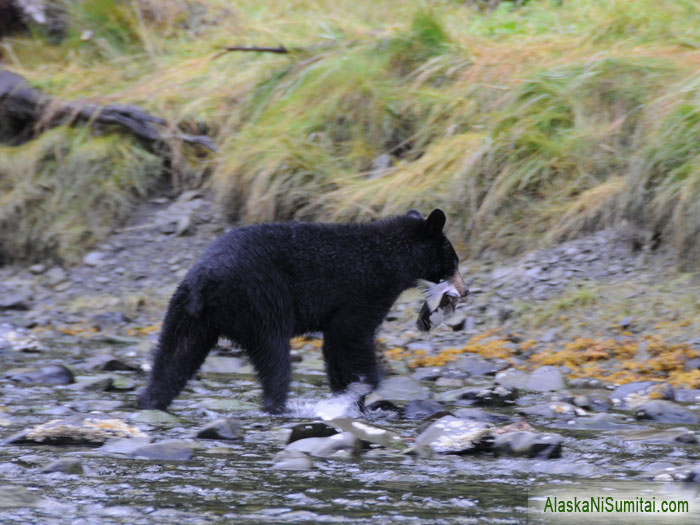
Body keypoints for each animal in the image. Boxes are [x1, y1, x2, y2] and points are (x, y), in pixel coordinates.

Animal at [137, 209, 464, 414]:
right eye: (454, 260)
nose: (465, 288)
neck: (390, 257)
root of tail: (205, 283)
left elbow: (337, 349)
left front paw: (351, 399)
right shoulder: (364, 290)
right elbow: (351, 337)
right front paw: (367, 387)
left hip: (185, 313)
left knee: (175, 356)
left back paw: (150, 400)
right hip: (262, 302)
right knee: (273, 354)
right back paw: (279, 405)